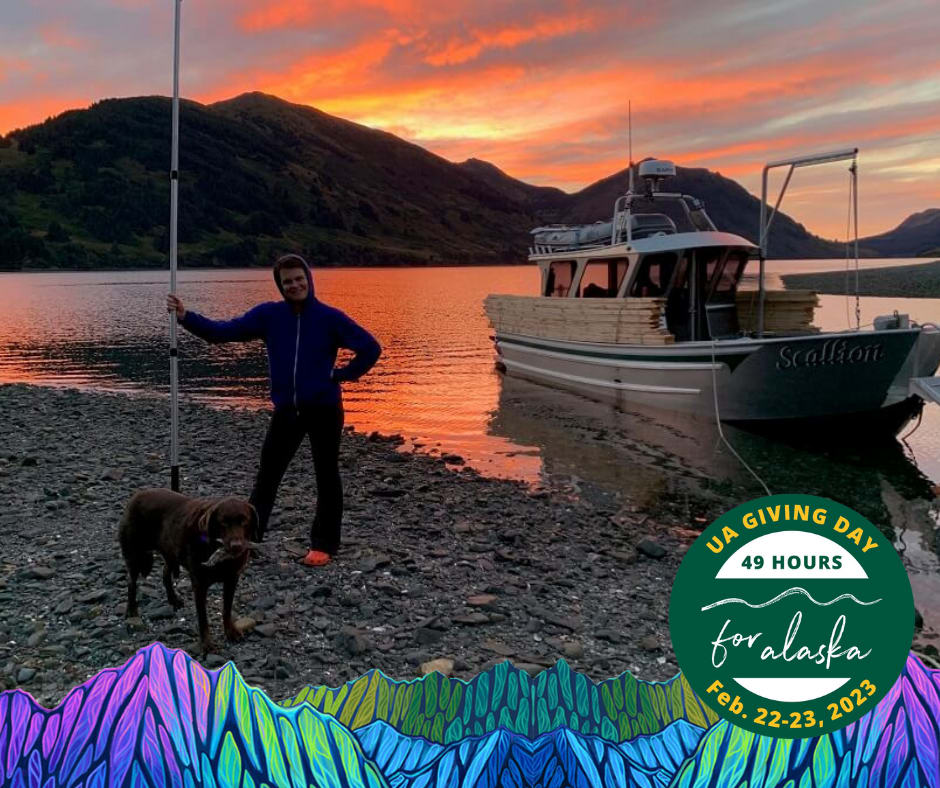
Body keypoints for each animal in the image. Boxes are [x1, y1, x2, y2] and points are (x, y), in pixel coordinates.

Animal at [121, 492, 260, 652]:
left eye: (244, 521)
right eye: (223, 522)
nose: (236, 546)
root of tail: (136, 495)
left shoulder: (232, 579)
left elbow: (227, 609)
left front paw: (230, 631)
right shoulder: (199, 584)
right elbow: (202, 617)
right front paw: (206, 643)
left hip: (171, 552)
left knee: (165, 572)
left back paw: (173, 599)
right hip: (135, 555)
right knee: (131, 581)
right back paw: (131, 610)